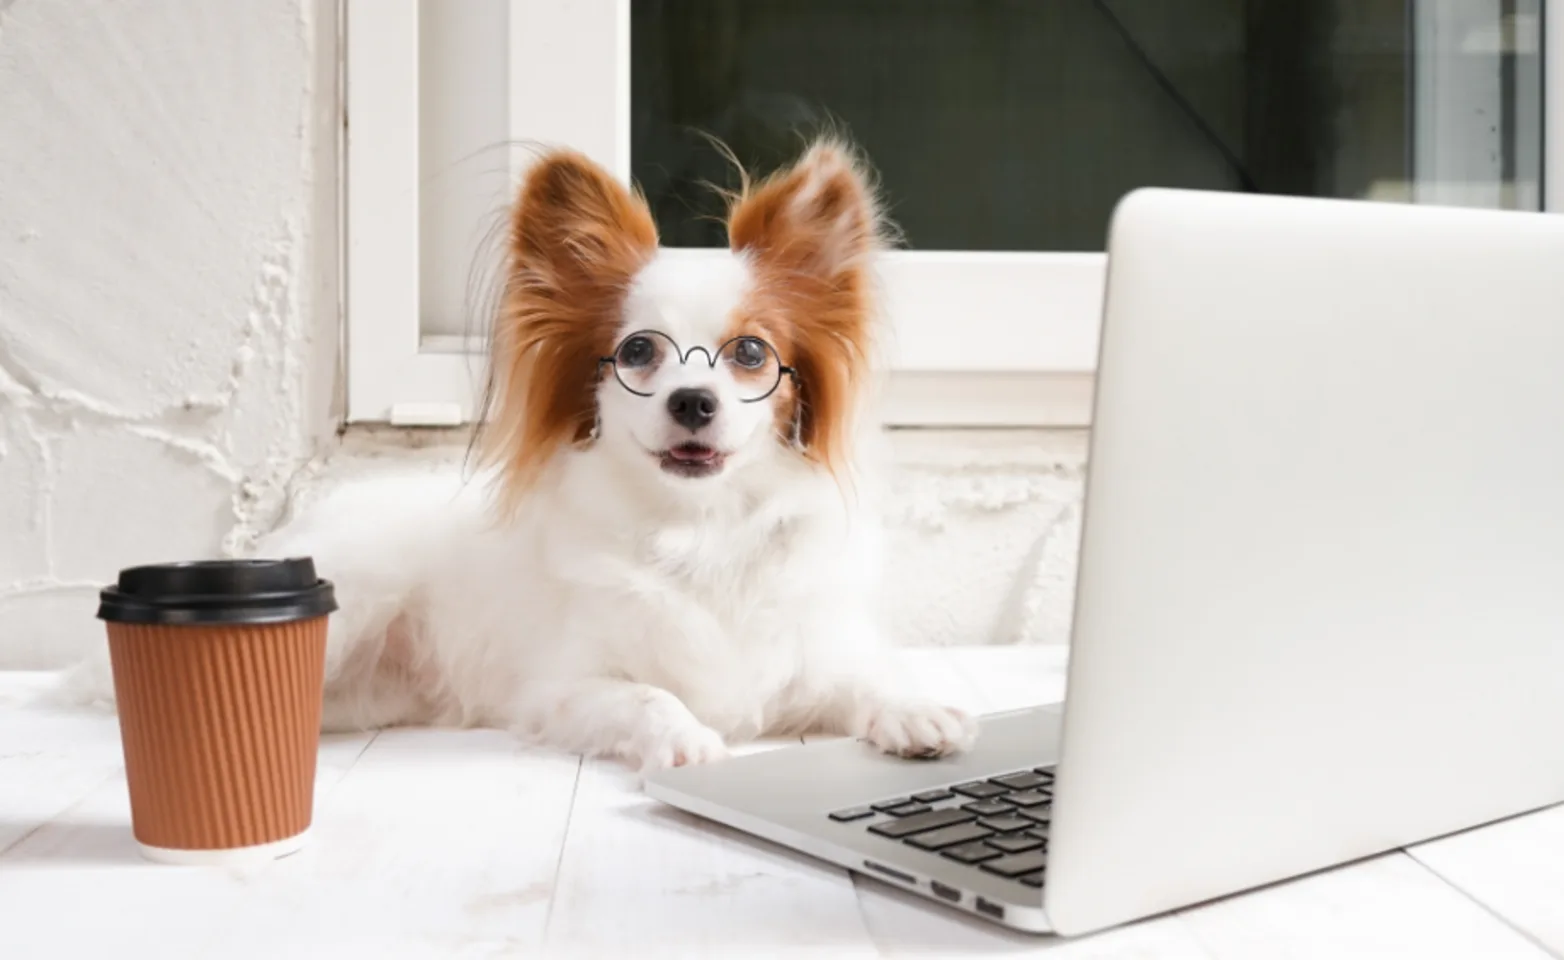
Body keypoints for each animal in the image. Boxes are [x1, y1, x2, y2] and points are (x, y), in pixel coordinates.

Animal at [79, 137, 975, 775]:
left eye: (751, 354)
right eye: (640, 352)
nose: (694, 400)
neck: (697, 528)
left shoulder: (813, 657)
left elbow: (868, 678)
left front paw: (917, 711)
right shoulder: (559, 690)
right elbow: (649, 697)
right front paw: (685, 738)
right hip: (355, 601)